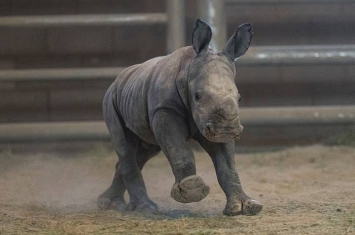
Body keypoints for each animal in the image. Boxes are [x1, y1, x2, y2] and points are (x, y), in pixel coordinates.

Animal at [97, 19, 262, 216]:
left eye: (239, 98)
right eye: (197, 96)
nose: (227, 130)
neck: (188, 69)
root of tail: (118, 78)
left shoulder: (212, 122)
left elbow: (227, 165)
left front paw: (244, 207)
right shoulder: (164, 109)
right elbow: (179, 150)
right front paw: (192, 191)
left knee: (143, 152)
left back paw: (112, 204)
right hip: (110, 98)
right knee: (124, 147)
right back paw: (145, 209)